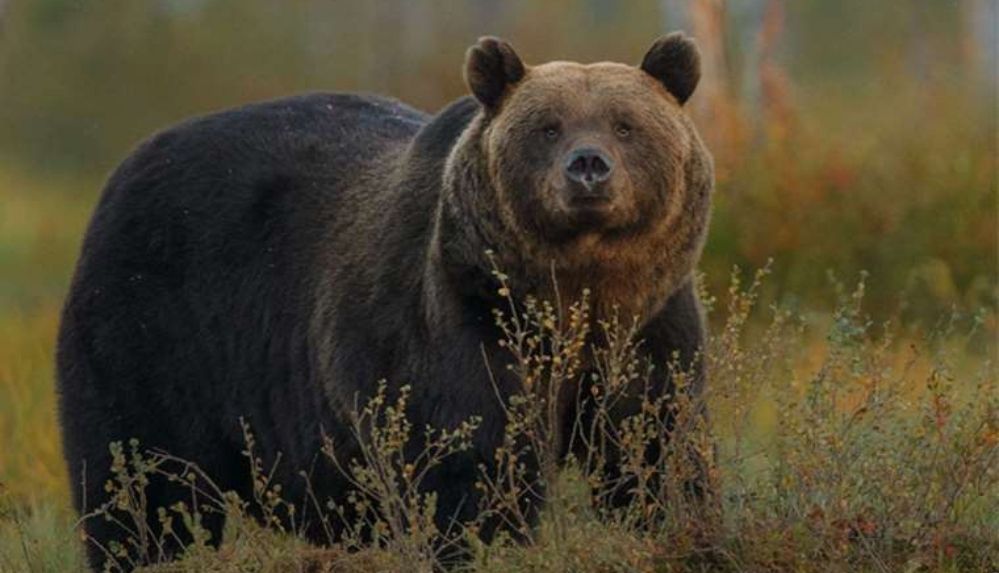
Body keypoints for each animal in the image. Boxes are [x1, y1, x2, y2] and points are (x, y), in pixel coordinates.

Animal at [56, 32, 712, 568]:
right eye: (548, 126)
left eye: (625, 124)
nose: (588, 166)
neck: (572, 292)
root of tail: (128, 164)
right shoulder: (457, 315)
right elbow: (468, 457)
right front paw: (486, 541)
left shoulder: (649, 322)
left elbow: (656, 441)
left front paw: (672, 522)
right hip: (150, 327)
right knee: (139, 478)